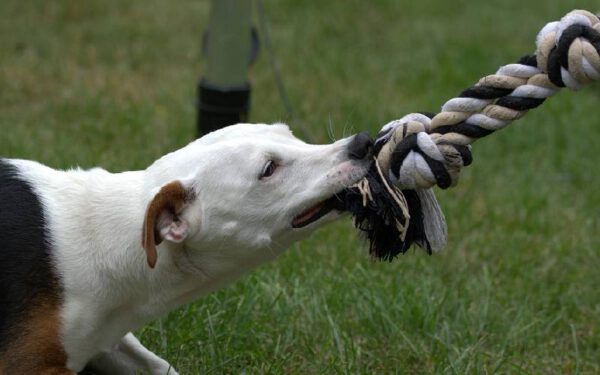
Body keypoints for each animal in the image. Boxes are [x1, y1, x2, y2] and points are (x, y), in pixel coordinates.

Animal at [0, 123, 372, 374]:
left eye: (290, 134)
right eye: (268, 169)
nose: (364, 142)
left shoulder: (105, 340)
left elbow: (158, 366)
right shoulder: (28, 363)